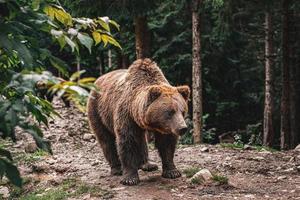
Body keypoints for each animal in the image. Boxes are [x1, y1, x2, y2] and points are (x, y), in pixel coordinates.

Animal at [86, 58, 190, 186]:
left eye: (183, 111)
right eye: (170, 112)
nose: (182, 128)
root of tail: (99, 78)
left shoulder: (165, 127)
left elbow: (167, 143)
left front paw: (172, 172)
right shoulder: (126, 115)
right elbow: (128, 141)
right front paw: (130, 178)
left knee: (141, 139)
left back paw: (147, 165)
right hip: (98, 110)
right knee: (106, 140)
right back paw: (117, 169)